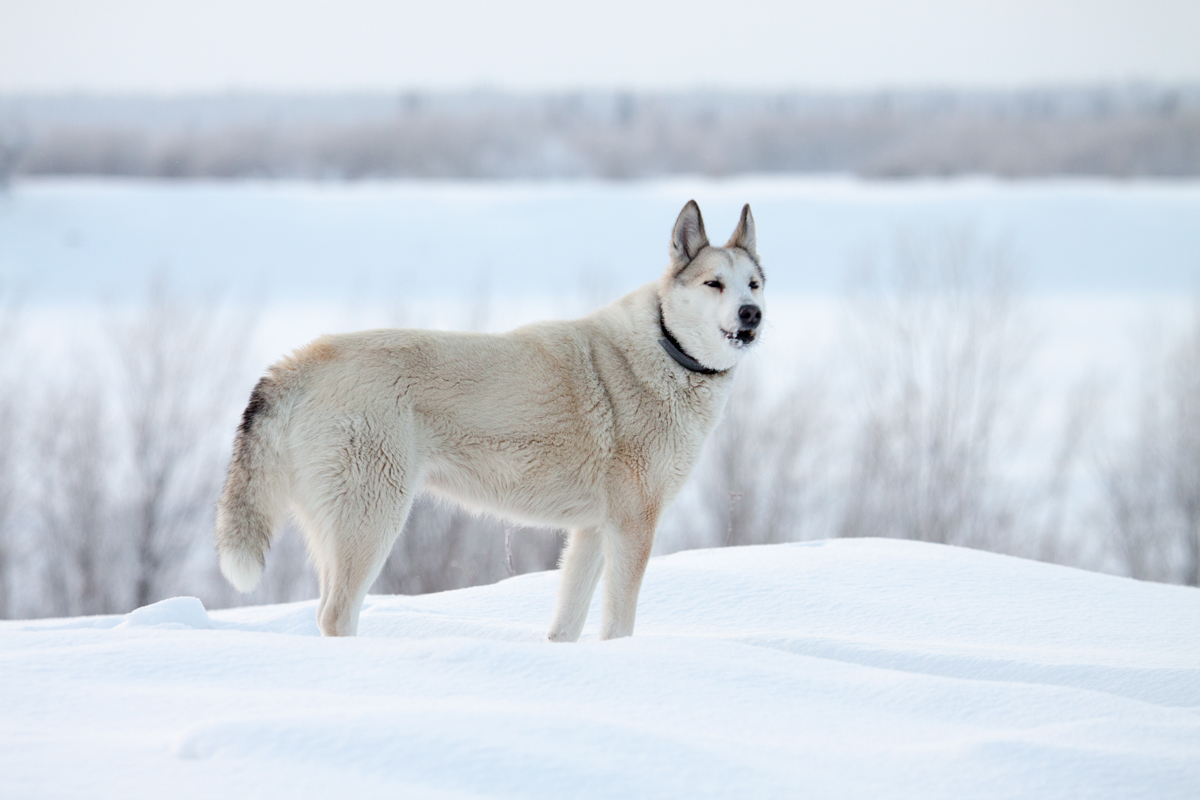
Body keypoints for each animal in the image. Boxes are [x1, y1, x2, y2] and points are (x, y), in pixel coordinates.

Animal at [212, 199, 763, 638]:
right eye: (714, 284)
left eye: (754, 284)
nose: (751, 314)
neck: (667, 350)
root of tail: (300, 361)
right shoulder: (633, 525)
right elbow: (618, 624)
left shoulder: (591, 531)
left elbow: (567, 625)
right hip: (372, 522)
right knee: (336, 614)